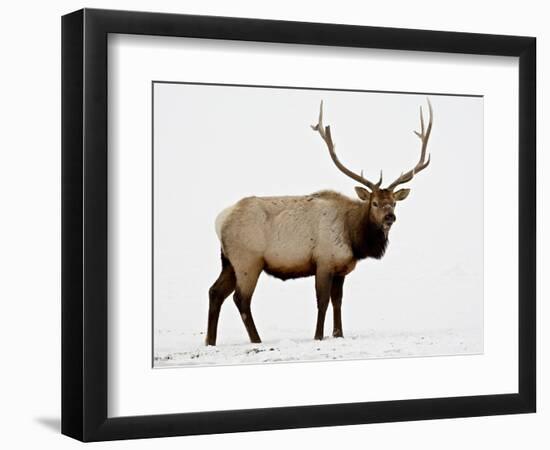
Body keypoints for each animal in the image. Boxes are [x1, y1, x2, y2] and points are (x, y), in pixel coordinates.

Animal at [207, 98, 436, 344]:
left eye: (394, 202)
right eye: (374, 203)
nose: (389, 217)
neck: (354, 238)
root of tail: (220, 220)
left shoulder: (341, 268)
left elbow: (338, 301)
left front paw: (338, 334)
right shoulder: (324, 262)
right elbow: (323, 302)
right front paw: (318, 336)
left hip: (229, 261)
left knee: (215, 292)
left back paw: (210, 341)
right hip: (248, 260)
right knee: (241, 299)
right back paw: (256, 339)